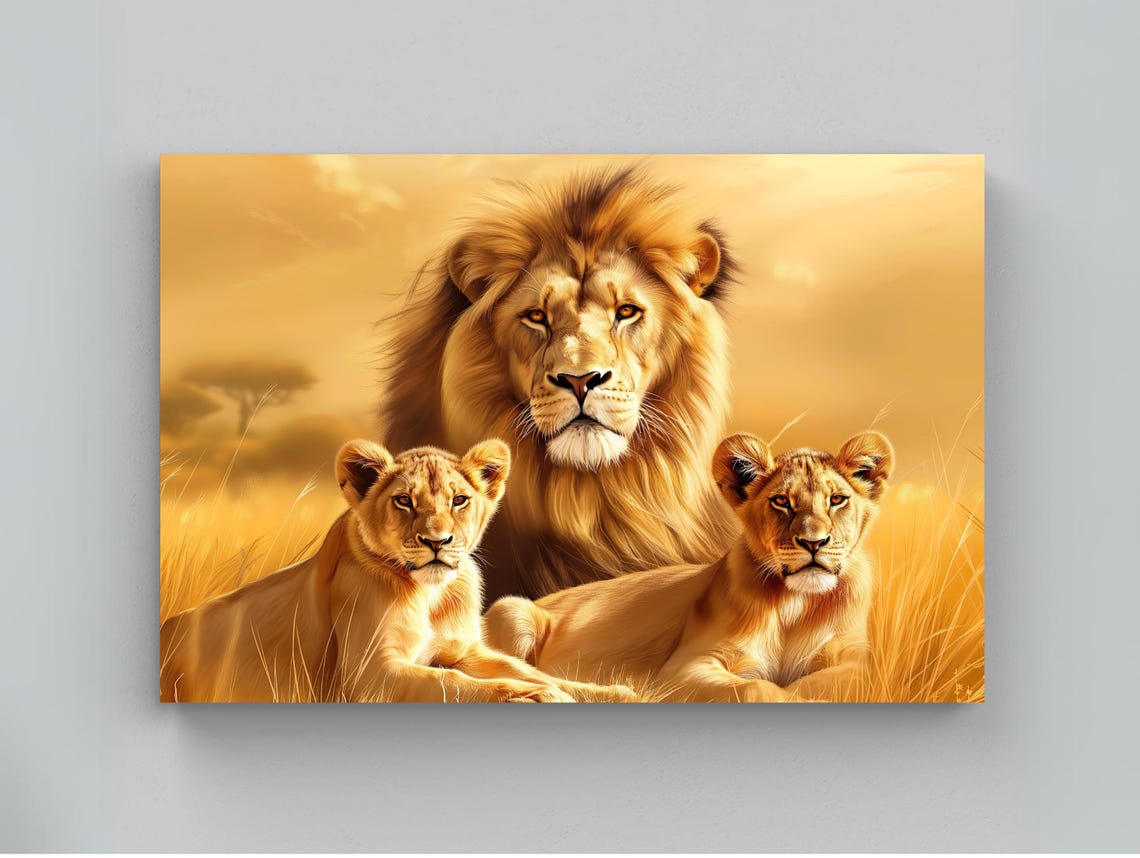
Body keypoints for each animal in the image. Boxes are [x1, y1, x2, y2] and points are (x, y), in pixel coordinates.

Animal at [160, 438, 633, 703]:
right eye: (404, 501)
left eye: (459, 500)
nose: (437, 542)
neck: (430, 595)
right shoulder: (370, 674)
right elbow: (455, 685)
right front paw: (535, 698)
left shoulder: (464, 649)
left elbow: (528, 670)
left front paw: (611, 692)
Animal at [483, 431, 895, 702]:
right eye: (781, 501)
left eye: (837, 499)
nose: (813, 542)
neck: (796, 605)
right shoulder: (683, 668)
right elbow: (758, 687)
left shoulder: (857, 660)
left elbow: (829, 681)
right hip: (511, 611)